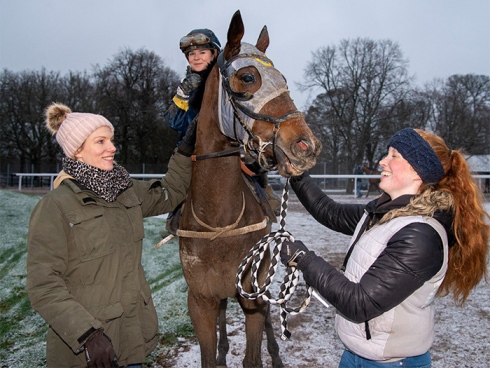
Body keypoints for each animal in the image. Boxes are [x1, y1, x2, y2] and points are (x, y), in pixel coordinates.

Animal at [176, 10, 322, 368]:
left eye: (283, 79)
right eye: (247, 77)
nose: (306, 145)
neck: (219, 221)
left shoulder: (253, 295)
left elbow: (254, 353)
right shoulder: (199, 300)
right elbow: (208, 351)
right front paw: (219, 352)